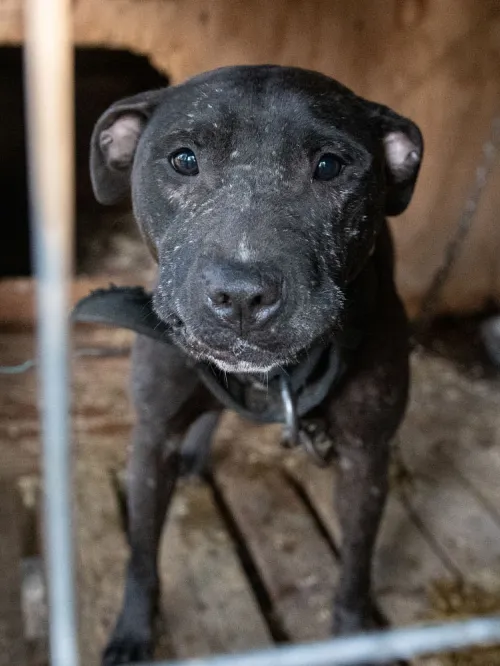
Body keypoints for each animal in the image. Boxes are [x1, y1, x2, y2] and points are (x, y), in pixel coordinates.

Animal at [89, 66, 422, 664]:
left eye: (329, 166)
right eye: (184, 159)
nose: (242, 295)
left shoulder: (365, 459)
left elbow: (356, 566)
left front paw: (353, 631)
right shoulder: (152, 434)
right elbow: (141, 556)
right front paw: (132, 631)